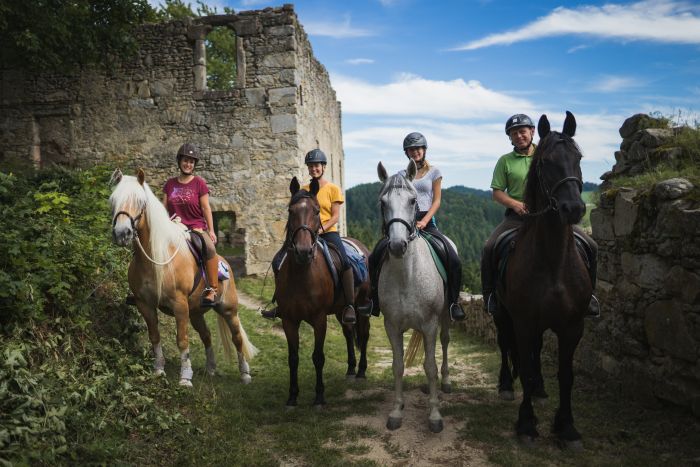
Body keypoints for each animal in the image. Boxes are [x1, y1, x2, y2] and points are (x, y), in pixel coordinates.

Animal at [106, 168, 254, 388]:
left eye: (140, 201)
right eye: (113, 200)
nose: (121, 233)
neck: (157, 257)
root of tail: (224, 263)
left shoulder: (179, 306)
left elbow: (182, 340)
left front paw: (185, 377)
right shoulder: (145, 305)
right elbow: (154, 336)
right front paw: (159, 370)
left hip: (228, 310)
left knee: (237, 339)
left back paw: (245, 374)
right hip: (196, 313)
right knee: (206, 335)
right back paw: (211, 368)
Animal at [274, 177, 372, 408]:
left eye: (317, 211)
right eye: (290, 210)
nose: (303, 251)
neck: (301, 275)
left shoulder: (319, 320)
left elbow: (318, 357)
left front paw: (319, 396)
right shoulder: (288, 320)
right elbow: (293, 358)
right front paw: (292, 397)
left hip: (362, 305)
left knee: (363, 335)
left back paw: (361, 371)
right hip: (341, 310)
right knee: (348, 332)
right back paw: (351, 369)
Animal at [374, 162, 452, 436]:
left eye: (412, 200)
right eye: (382, 202)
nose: (397, 246)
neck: (407, 275)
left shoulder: (429, 325)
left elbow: (429, 367)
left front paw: (435, 415)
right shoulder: (392, 326)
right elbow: (397, 366)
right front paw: (397, 410)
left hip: (446, 317)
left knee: (445, 343)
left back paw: (446, 382)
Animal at [494, 110, 592, 450]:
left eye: (578, 157)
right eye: (546, 162)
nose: (573, 208)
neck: (552, 263)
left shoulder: (573, 326)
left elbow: (566, 374)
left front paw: (567, 426)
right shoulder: (523, 322)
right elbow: (523, 364)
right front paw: (526, 424)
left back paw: (538, 388)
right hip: (502, 315)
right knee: (505, 345)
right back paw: (507, 385)